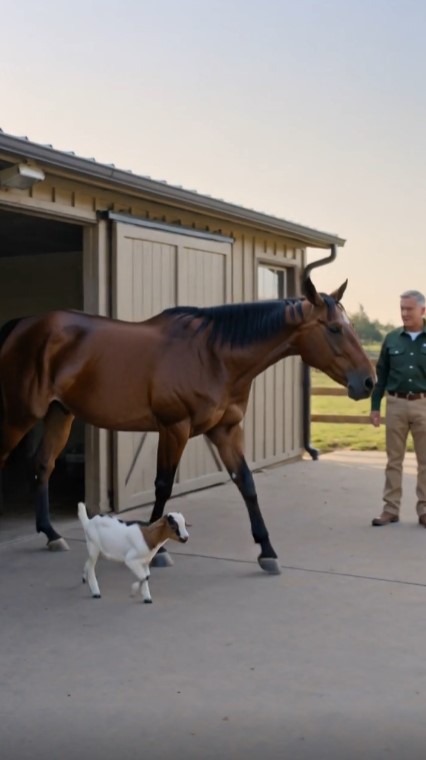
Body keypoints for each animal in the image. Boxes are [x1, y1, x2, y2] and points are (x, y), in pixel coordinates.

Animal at [0, 277, 374, 574]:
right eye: (334, 328)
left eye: (352, 327)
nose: (368, 382)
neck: (213, 355)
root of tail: (23, 325)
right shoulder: (174, 428)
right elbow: (163, 486)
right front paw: (159, 550)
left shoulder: (226, 430)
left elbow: (246, 483)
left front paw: (267, 552)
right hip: (19, 416)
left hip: (59, 414)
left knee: (43, 465)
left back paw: (51, 534)